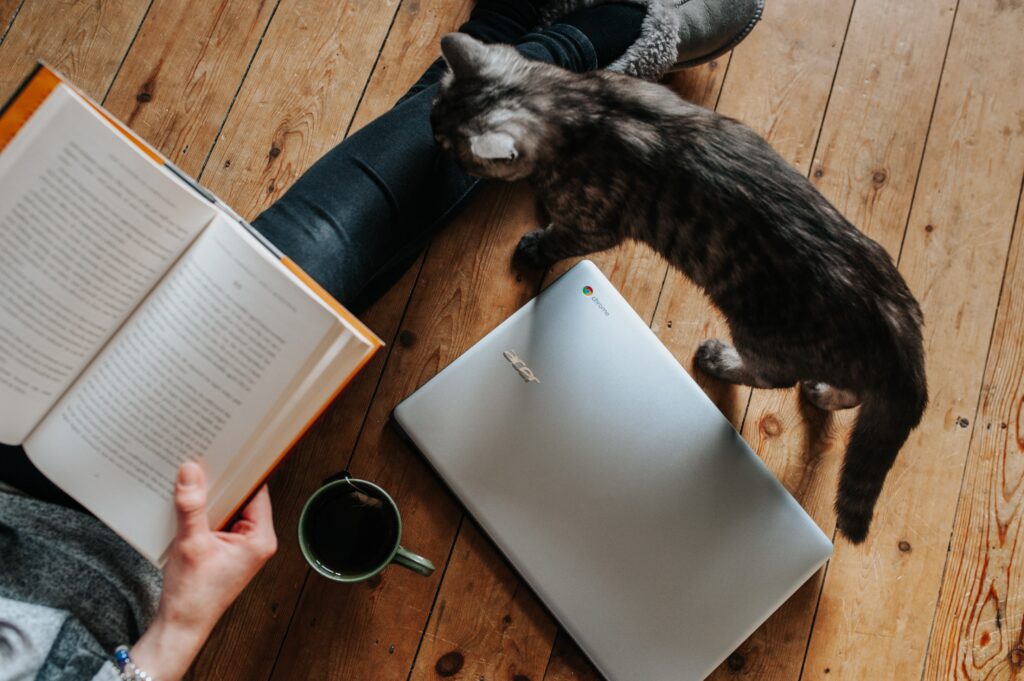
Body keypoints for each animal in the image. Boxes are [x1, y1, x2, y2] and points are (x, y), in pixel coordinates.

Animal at [432, 31, 929, 544]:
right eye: (433, 118)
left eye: (453, 145)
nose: (436, 149)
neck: (577, 101)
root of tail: (899, 327)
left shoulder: (595, 227)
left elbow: (559, 237)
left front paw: (536, 243)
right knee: (852, 393)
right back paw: (822, 392)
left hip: (763, 333)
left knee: (775, 376)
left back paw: (722, 360)